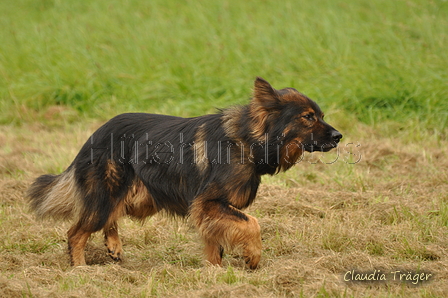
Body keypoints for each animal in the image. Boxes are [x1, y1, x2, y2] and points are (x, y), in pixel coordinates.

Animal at [26, 78, 342, 268]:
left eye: (321, 116)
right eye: (308, 117)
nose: (339, 136)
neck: (247, 140)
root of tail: (95, 133)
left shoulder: (207, 211)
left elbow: (215, 244)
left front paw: (217, 273)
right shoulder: (208, 203)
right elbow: (252, 223)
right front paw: (252, 256)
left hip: (136, 196)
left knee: (109, 218)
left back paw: (113, 246)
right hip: (107, 193)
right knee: (76, 232)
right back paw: (81, 269)